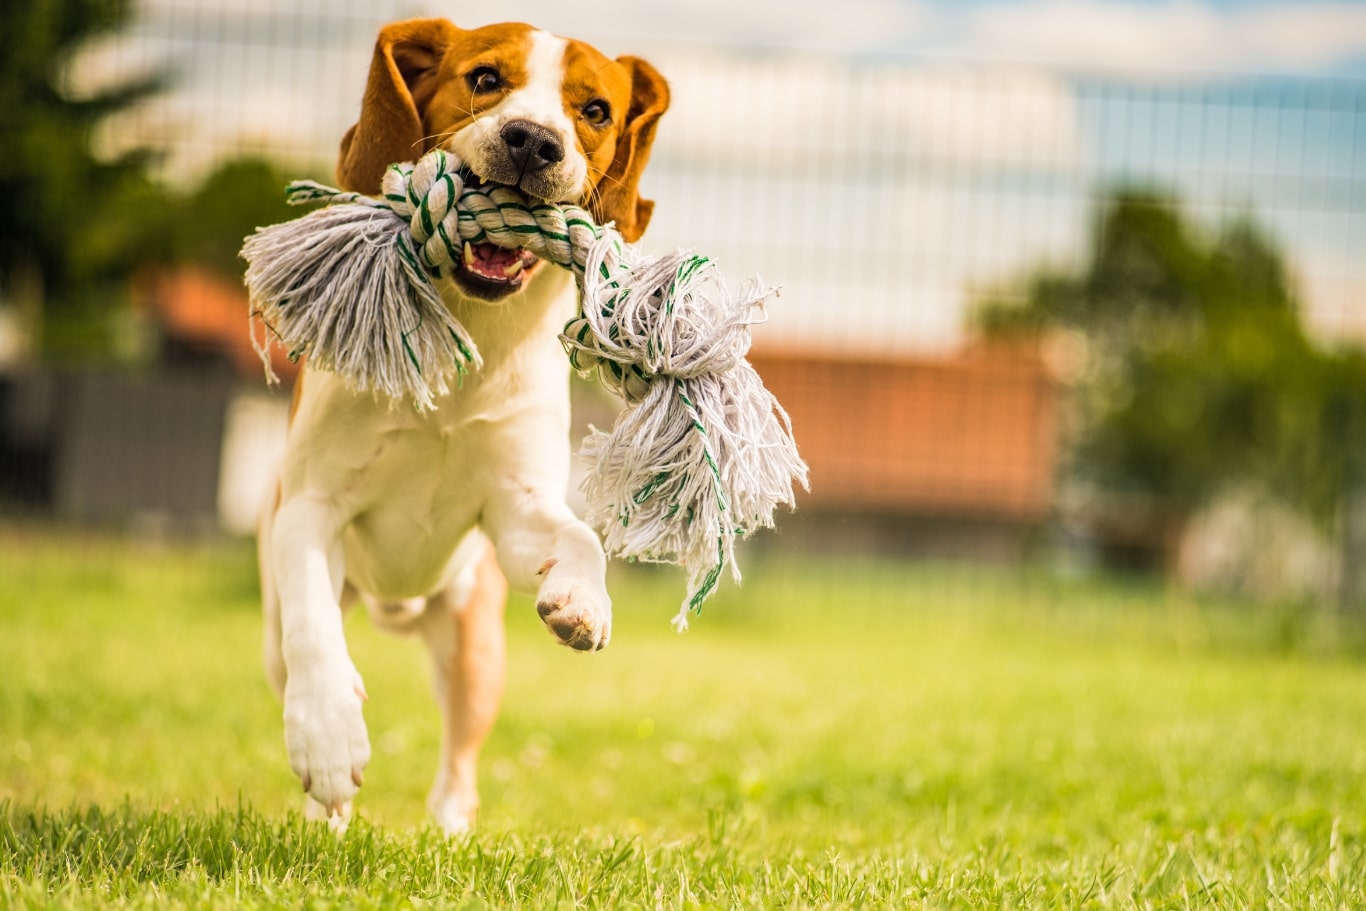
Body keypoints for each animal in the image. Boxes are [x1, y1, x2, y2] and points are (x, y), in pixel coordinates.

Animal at [256, 19, 666, 835]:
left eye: (595, 111)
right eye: (484, 79)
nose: (533, 141)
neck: (467, 331)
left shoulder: (513, 509)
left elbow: (578, 535)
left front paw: (583, 600)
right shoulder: (310, 505)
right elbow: (315, 630)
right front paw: (328, 739)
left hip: (474, 646)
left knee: (460, 762)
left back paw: (448, 834)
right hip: (277, 631)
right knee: (303, 647)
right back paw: (326, 815)